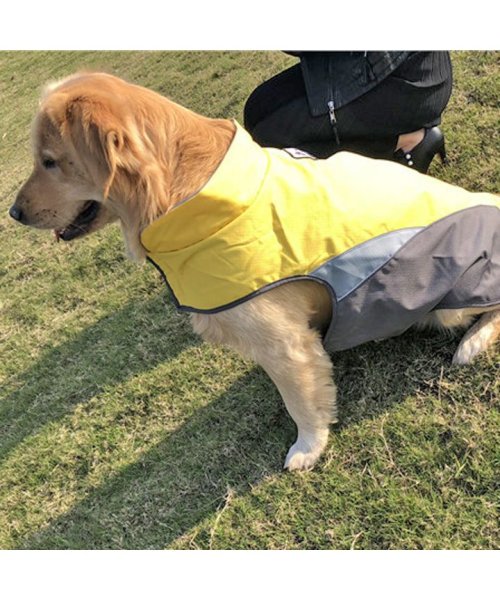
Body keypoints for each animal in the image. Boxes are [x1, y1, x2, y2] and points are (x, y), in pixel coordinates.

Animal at [9, 74, 498, 468]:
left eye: (49, 161)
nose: (14, 213)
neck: (187, 194)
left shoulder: (282, 339)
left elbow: (299, 398)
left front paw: (308, 447)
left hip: (445, 301)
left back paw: (472, 343)